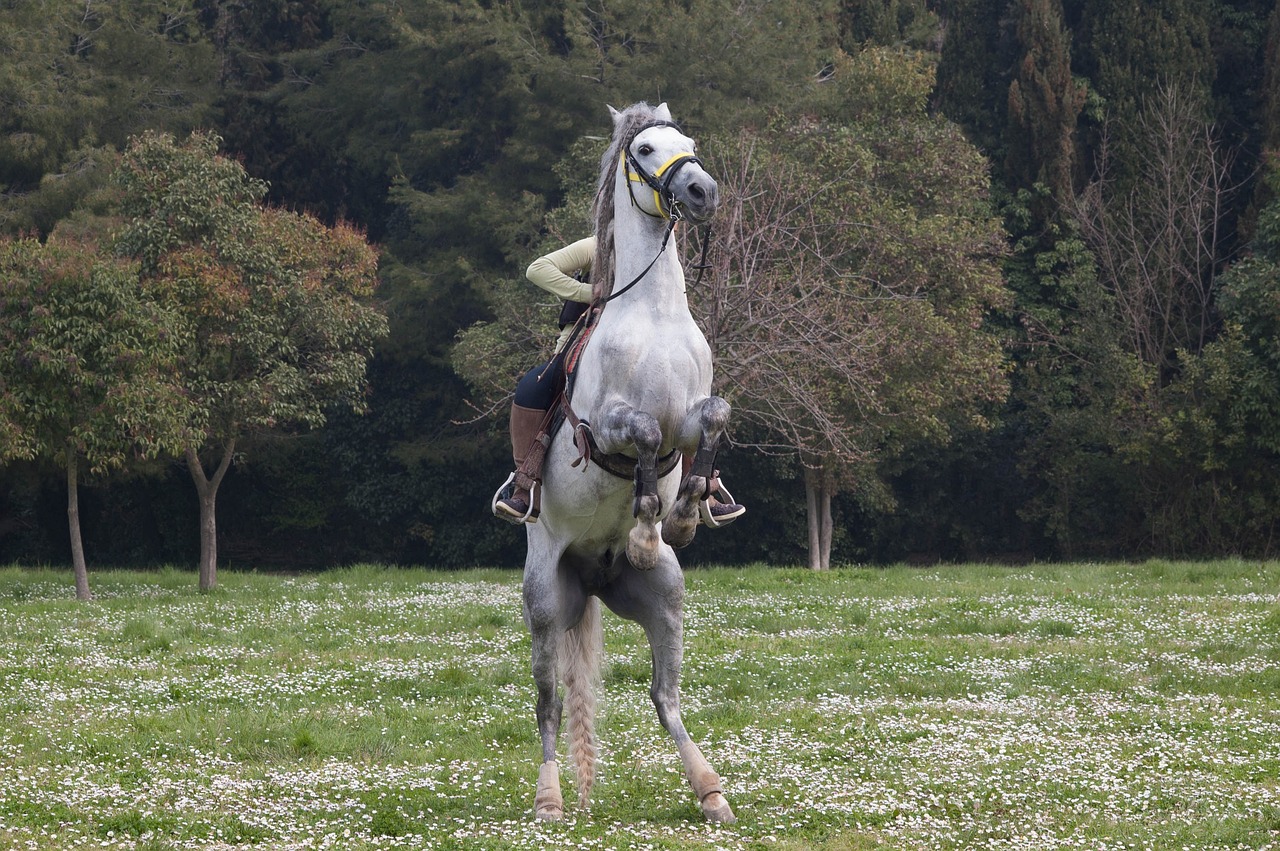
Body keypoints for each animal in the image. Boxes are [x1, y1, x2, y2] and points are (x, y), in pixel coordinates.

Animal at [522, 101, 742, 824]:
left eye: (689, 142)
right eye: (645, 149)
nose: (702, 191)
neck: (655, 313)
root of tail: (590, 576)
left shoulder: (693, 413)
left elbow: (712, 418)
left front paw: (691, 508)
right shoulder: (610, 425)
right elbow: (643, 433)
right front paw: (648, 525)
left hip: (664, 598)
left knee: (663, 696)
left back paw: (711, 790)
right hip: (544, 602)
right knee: (549, 703)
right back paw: (550, 797)